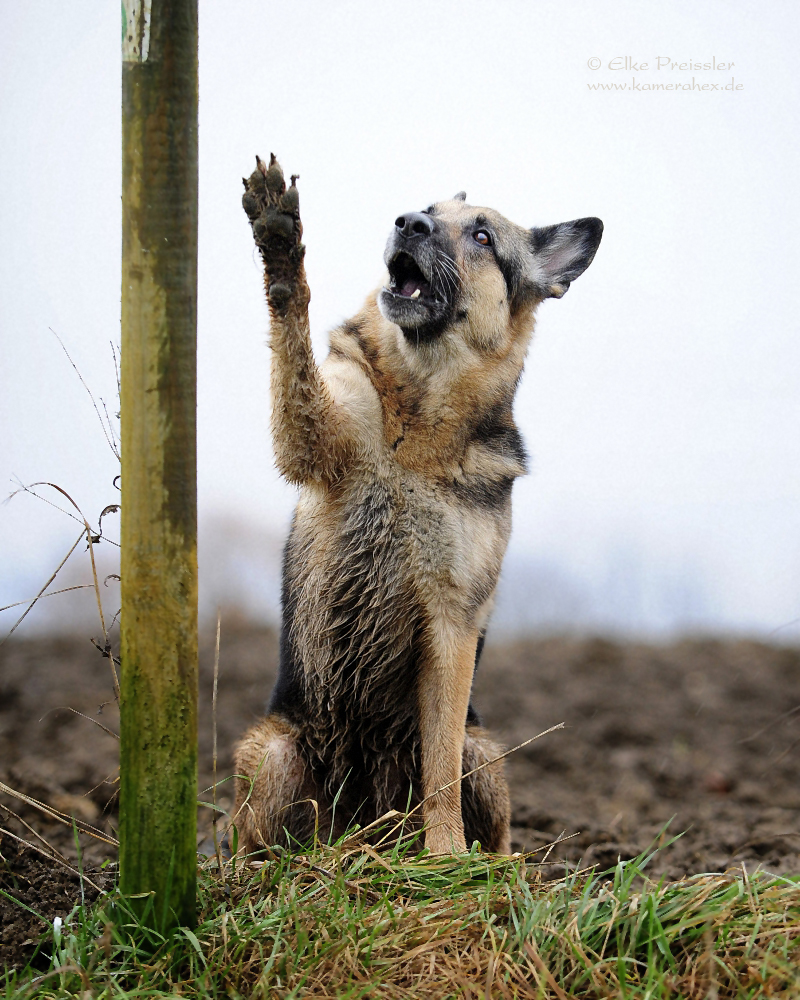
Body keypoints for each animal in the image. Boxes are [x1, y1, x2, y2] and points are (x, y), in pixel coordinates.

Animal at [231, 154, 600, 852]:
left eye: (482, 236)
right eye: (426, 210)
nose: (408, 222)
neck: (417, 427)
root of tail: (361, 831)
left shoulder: (452, 623)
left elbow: (440, 765)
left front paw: (447, 856)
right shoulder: (313, 436)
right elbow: (294, 341)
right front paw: (282, 245)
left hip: (485, 757)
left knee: (472, 790)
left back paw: (485, 861)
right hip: (274, 756)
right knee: (257, 839)